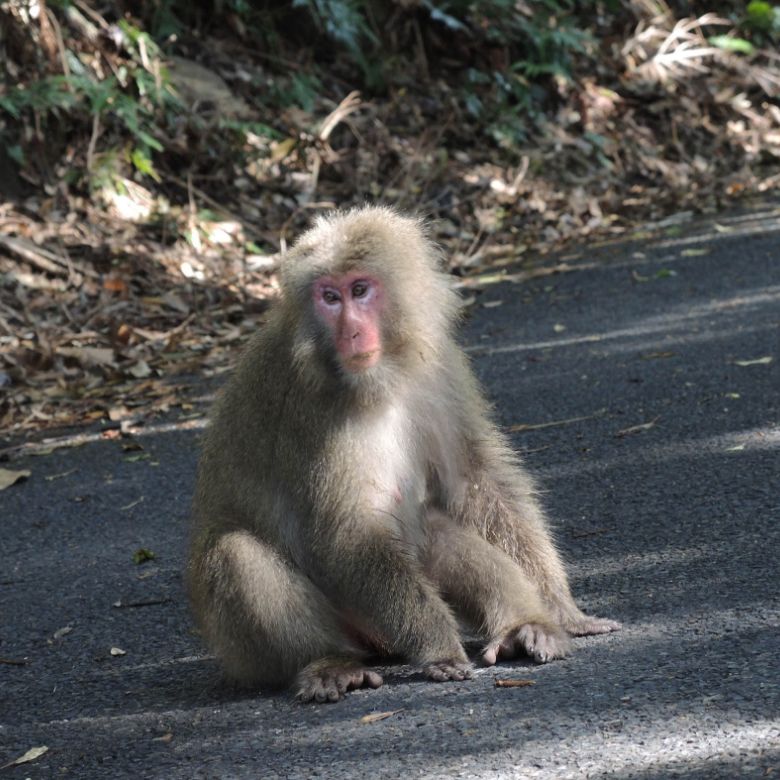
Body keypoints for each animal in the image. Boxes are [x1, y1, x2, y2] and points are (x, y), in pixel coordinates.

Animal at [186, 204, 620, 704]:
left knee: (431, 527)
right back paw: (327, 663)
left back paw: (521, 627)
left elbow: (473, 480)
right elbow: (349, 531)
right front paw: (439, 646)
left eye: (359, 290)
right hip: (272, 645)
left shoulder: (439, 368)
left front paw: (563, 611)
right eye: (329, 297)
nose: (350, 332)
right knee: (235, 554)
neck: (383, 376)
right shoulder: (314, 407)